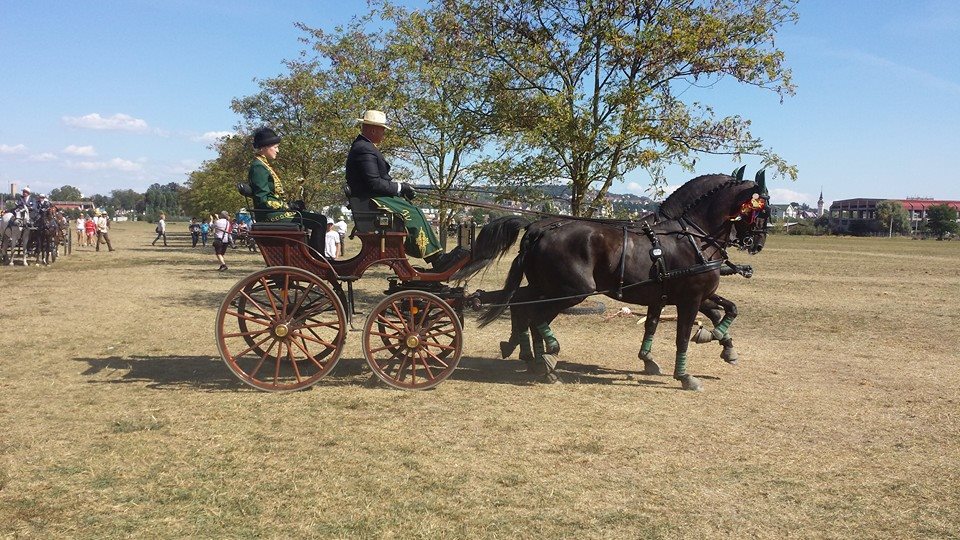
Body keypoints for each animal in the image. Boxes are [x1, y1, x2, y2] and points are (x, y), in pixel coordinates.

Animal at [460, 172, 772, 388]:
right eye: (763, 210)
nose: (757, 243)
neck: (692, 237)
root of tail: (539, 228)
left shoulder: (674, 295)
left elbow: (722, 311)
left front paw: (720, 344)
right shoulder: (691, 298)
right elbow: (683, 335)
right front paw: (685, 374)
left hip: (546, 287)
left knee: (523, 307)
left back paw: (533, 358)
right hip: (572, 291)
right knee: (534, 314)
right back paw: (545, 358)